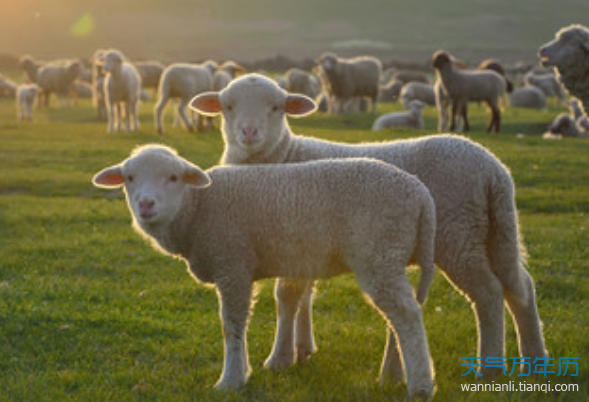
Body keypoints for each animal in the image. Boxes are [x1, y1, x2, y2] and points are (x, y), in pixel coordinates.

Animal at [93, 144, 436, 398]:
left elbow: (231, 323)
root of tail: (420, 192)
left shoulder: (232, 263)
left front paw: (230, 380)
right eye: (129, 178)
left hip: (379, 252)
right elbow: (238, 322)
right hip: (389, 257)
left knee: (406, 315)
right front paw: (243, 372)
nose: (146, 205)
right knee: (398, 317)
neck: (198, 207)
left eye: (174, 177)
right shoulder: (236, 267)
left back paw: (420, 386)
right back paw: (393, 375)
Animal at [189, 74, 548, 384]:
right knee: (520, 287)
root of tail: (493, 170)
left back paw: (490, 367)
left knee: (488, 292)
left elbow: (287, 297)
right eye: (227, 107)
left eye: (276, 107)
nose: (249, 133)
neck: (283, 155)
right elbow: (304, 297)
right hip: (497, 230)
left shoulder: (292, 237)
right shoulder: (303, 245)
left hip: (458, 235)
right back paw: (534, 359)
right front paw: (303, 349)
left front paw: (279, 358)